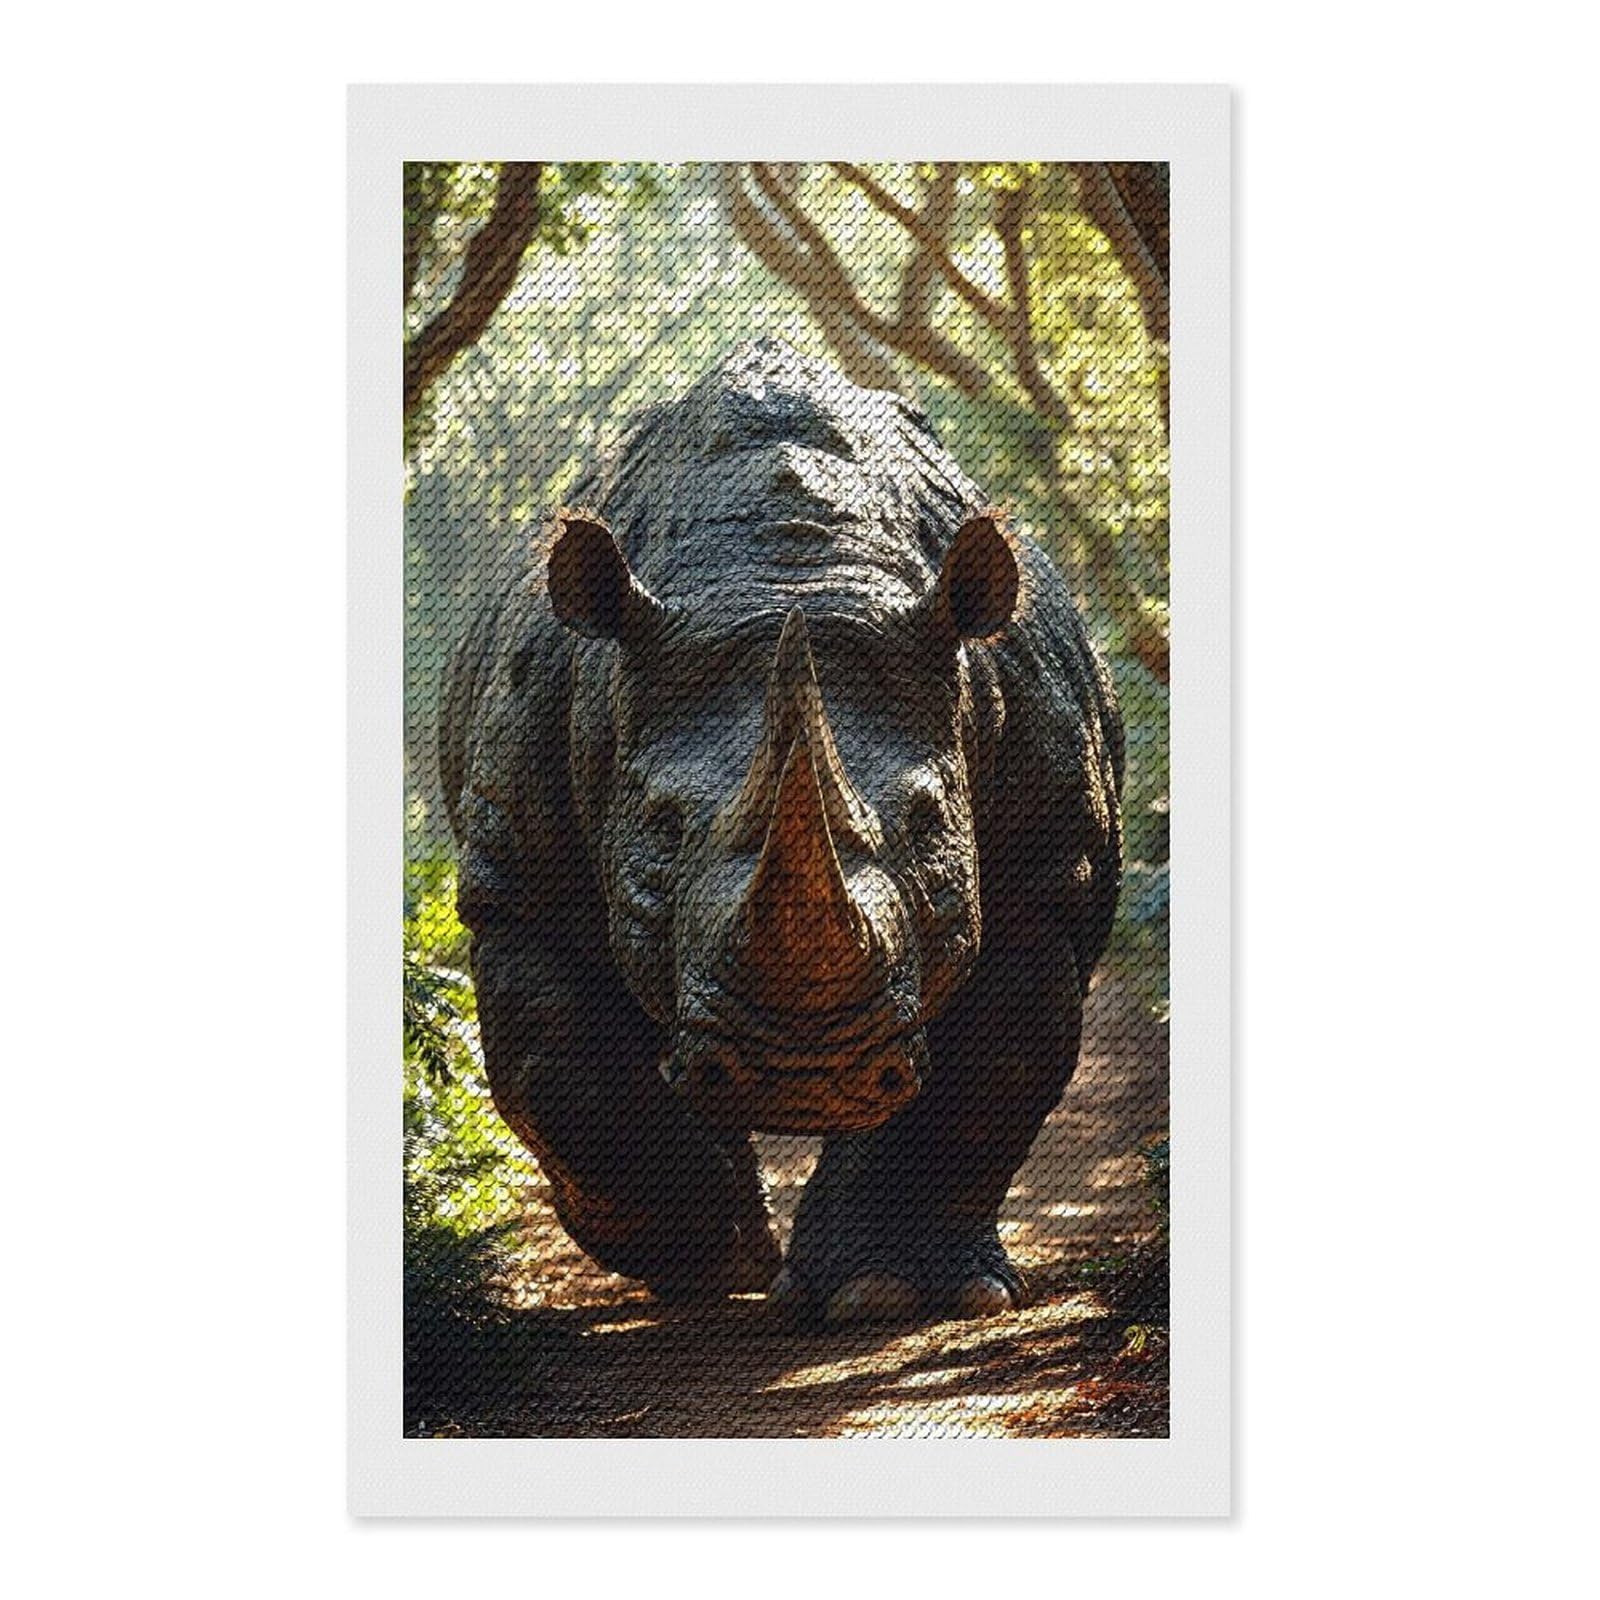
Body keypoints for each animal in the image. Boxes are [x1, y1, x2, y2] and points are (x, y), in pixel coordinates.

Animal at [440, 339, 1123, 1326]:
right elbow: (562, 1072)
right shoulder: (516, 881)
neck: (781, 574)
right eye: (661, 826)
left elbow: (992, 1063)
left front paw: (883, 1295)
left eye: (928, 824)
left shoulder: (1046, 871)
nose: (800, 1073)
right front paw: (716, 1263)